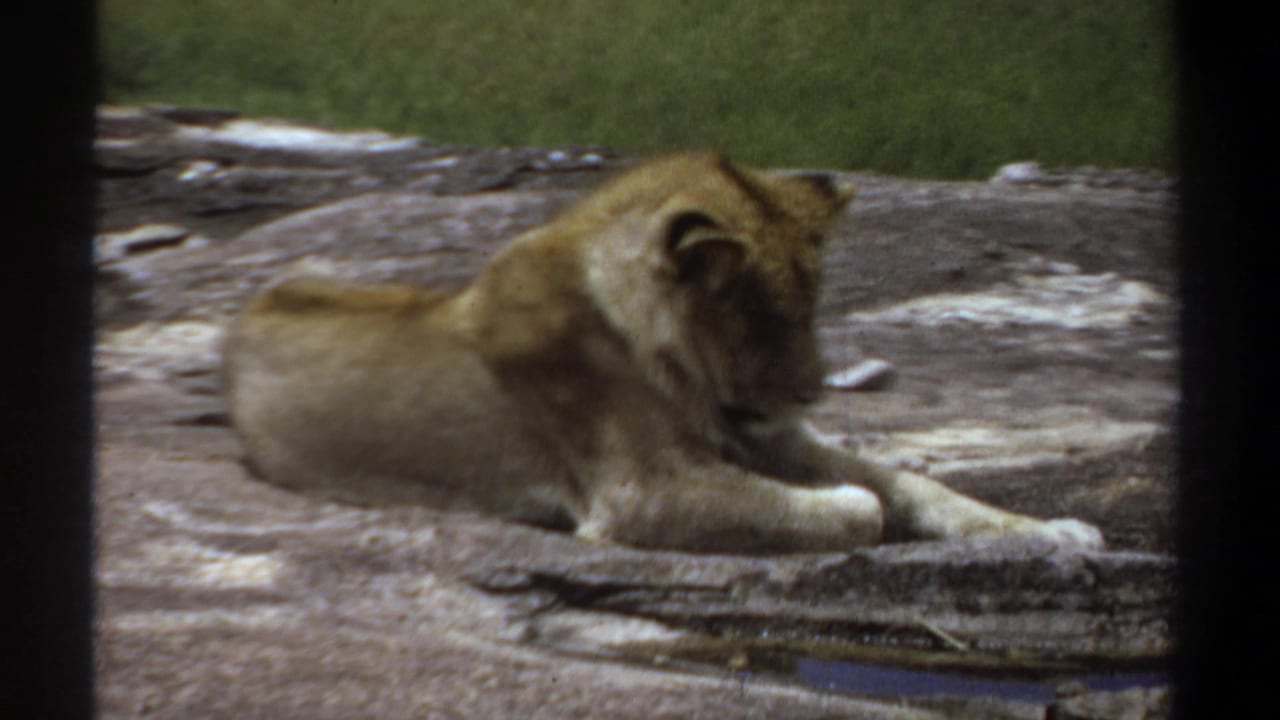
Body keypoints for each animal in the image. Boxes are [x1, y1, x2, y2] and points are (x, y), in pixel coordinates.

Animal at [223, 152, 1103, 554]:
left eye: (810, 309)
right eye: (768, 318)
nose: (814, 391)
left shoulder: (767, 436)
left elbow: (914, 483)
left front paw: (1054, 531)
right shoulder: (642, 492)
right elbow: (858, 505)